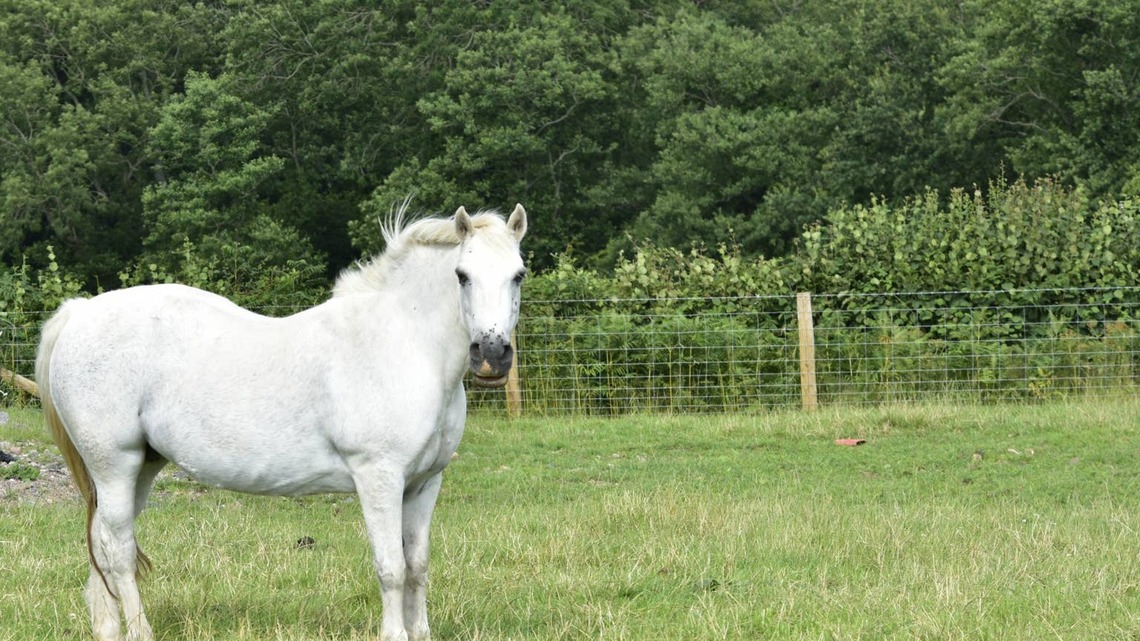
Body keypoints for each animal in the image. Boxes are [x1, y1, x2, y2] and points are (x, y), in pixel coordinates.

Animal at [35, 204, 528, 641]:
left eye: (518, 274)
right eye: (462, 275)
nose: (492, 354)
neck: (402, 343)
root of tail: (79, 312)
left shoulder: (425, 483)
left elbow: (418, 565)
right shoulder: (379, 477)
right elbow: (391, 567)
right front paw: (395, 633)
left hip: (141, 467)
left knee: (101, 544)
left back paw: (109, 629)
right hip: (114, 465)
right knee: (118, 552)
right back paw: (140, 631)